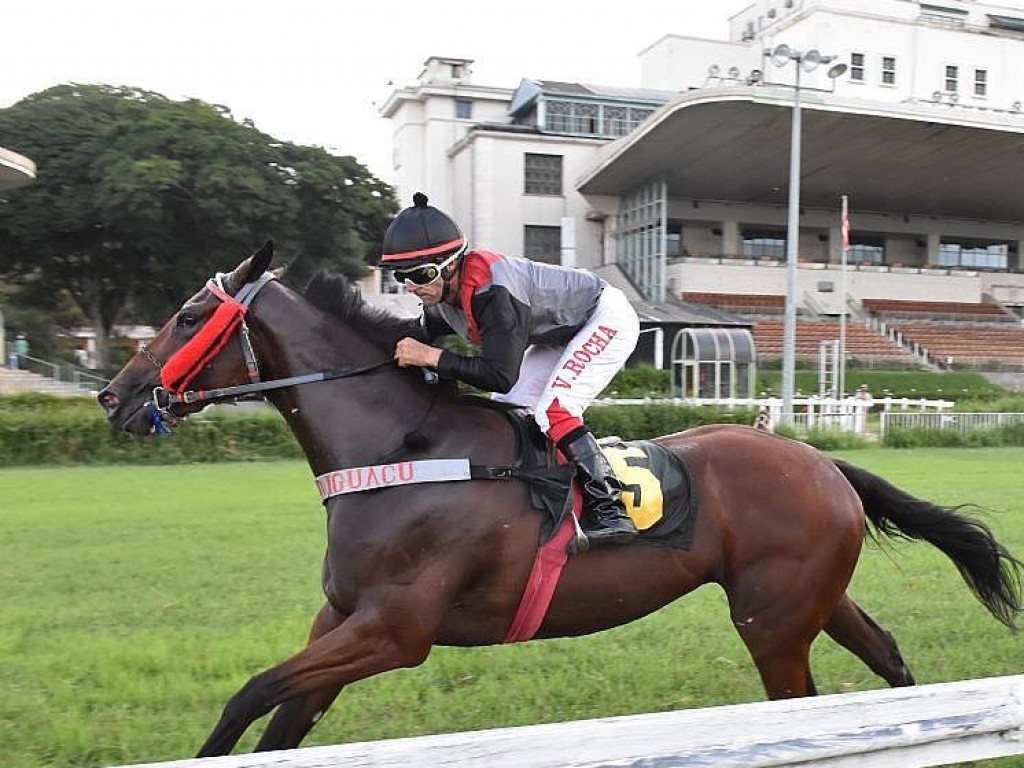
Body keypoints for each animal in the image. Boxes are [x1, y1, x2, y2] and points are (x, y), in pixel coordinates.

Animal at [97, 244, 1024, 757]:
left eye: (189, 316)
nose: (115, 396)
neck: (404, 451)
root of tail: (819, 458)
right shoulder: (343, 620)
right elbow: (284, 720)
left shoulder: (396, 632)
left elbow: (251, 694)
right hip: (808, 598)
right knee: (888, 661)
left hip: (773, 620)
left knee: (802, 701)